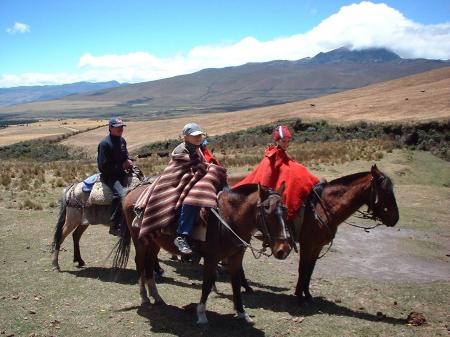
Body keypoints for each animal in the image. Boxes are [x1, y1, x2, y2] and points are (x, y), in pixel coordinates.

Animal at [114, 184, 294, 322]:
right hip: (140, 242)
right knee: (140, 264)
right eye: (268, 211)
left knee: (150, 264)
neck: (228, 219)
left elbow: (235, 284)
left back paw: (157, 297)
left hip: (153, 243)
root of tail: (131, 193)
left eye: (285, 211)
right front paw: (201, 315)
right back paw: (144, 297)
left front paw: (242, 313)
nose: (284, 250)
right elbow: (207, 283)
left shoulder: (236, 257)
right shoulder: (211, 258)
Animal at [294, 164, 400, 304]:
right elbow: (303, 269)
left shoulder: (317, 246)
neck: (320, 209)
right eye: (385, 191)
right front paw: (300, 297)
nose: (395, 218)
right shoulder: (307, 245)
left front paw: (307, 295)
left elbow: (310, 270)